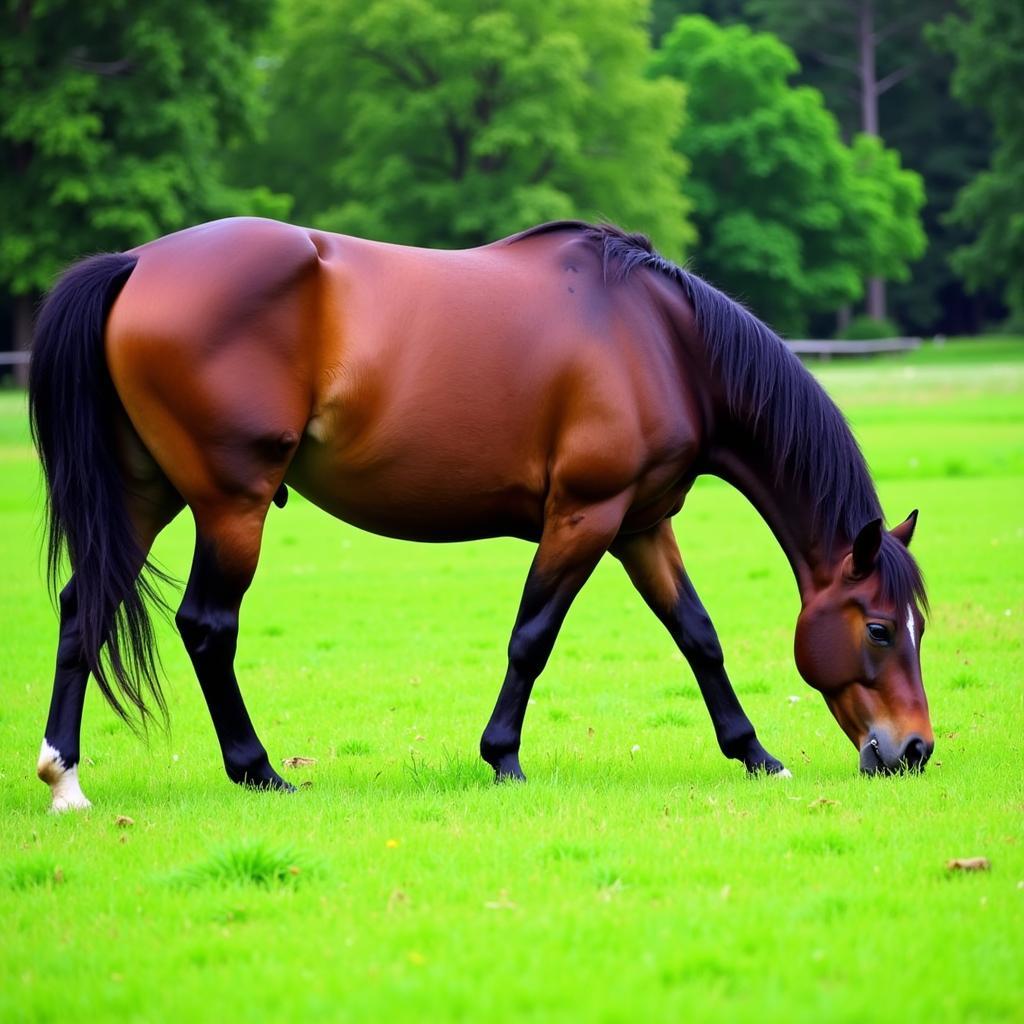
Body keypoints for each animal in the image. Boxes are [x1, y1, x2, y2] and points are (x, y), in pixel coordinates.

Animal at [28, 220, 933, 811]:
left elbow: (697, 636)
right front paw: (503, 760)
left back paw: (65, 776)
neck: (664, 343)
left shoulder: (642, 525)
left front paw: (757, 755)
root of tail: (137, 261)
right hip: (231, 505)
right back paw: (258, 771)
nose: (915, 750)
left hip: (145, 495)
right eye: (881, 628)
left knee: (83, 608)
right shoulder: (585, 517)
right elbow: (532, 638)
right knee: (207, 626)